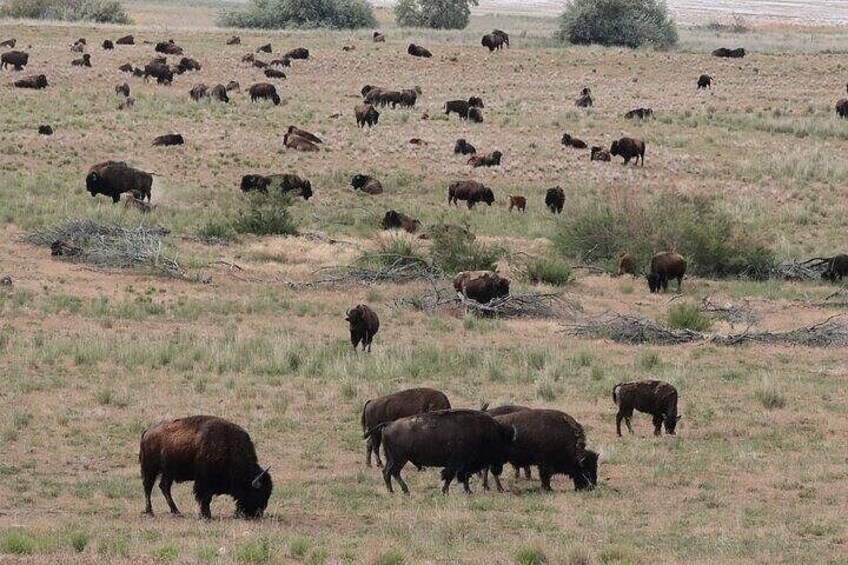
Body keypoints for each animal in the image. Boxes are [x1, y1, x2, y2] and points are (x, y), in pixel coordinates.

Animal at [139, 415, 272, 519]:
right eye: (258, 492)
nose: (256, 514)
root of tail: (147, 432)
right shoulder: (204, 480)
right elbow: (205, 497)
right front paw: (206, 515)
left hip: (168, 473)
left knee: (164, 487)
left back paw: (176, 512)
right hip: (150, 469)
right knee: (148, 488)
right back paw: (150, 512)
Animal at [376, 409, 515, 494]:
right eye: (502, 444)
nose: (502, 464)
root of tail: (389, 424)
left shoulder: (463, 465)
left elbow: (462, 477)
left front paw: (468, 491)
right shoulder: (456, 464)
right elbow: (450, 477)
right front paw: (446, 491)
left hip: (393, 459)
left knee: (387, 472)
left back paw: (395, 491)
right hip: (399, 459)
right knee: (393, 472)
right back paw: (402, 491)